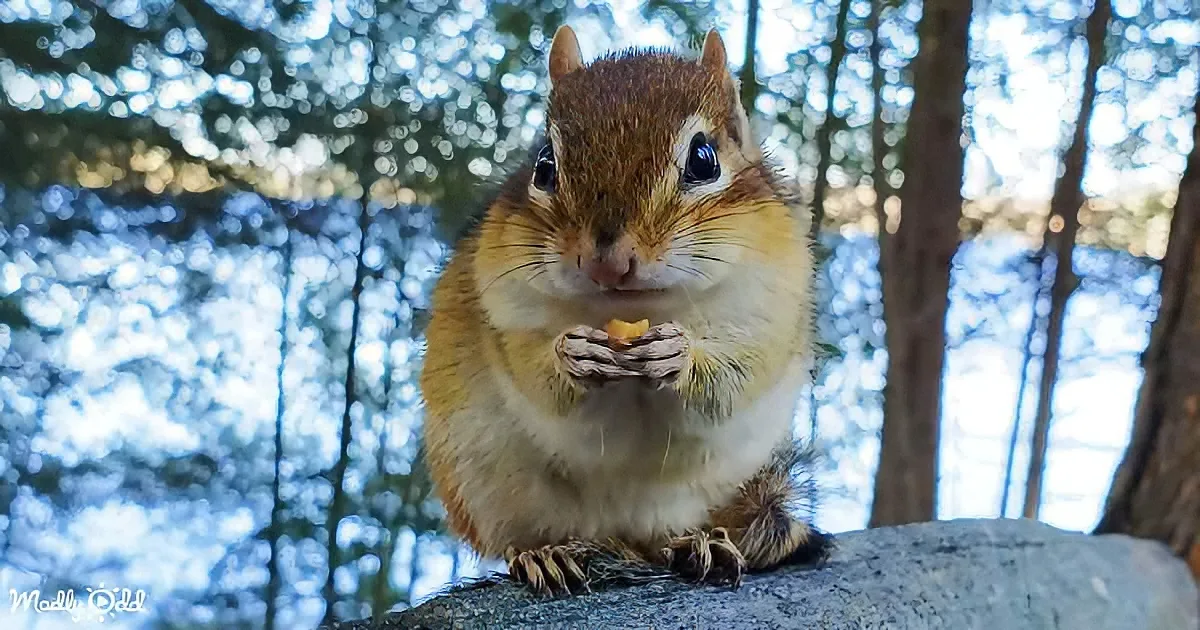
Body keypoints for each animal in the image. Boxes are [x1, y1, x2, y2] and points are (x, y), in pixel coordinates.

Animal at [418, 25, 832, 595]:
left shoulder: (769, 309)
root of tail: (620, 538)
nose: (608, 263)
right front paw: (573, 355)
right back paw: (545, 553)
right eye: (544, 166)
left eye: (704, 159)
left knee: (668, 541)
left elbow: (733, 378)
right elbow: (533, 374)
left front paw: (679, 355)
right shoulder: (502, 306)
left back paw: (697, 544)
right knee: (527, 538)